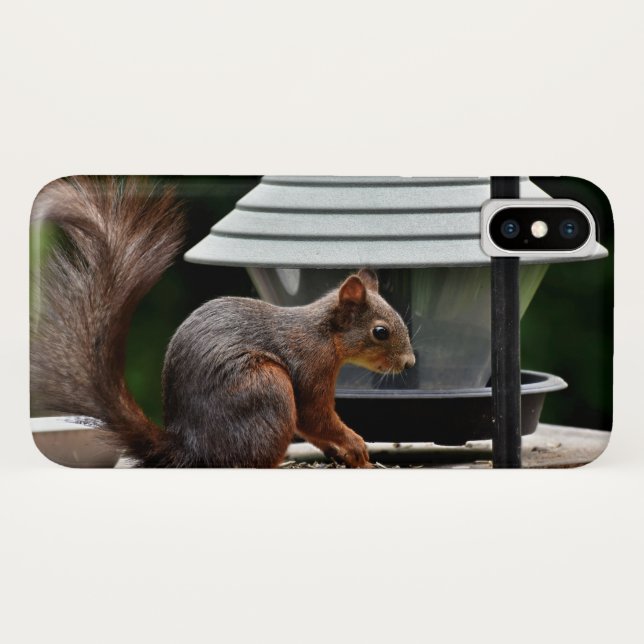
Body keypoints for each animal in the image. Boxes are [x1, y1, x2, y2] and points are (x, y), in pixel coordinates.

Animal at [30, 176, 416, 468]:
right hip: (267, 388)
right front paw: (356, 446)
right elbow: (314, 417)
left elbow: (312, 428)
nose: (409, 362)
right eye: (380, 332)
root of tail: (193, 449)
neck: (324, 334)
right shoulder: (309, 368)